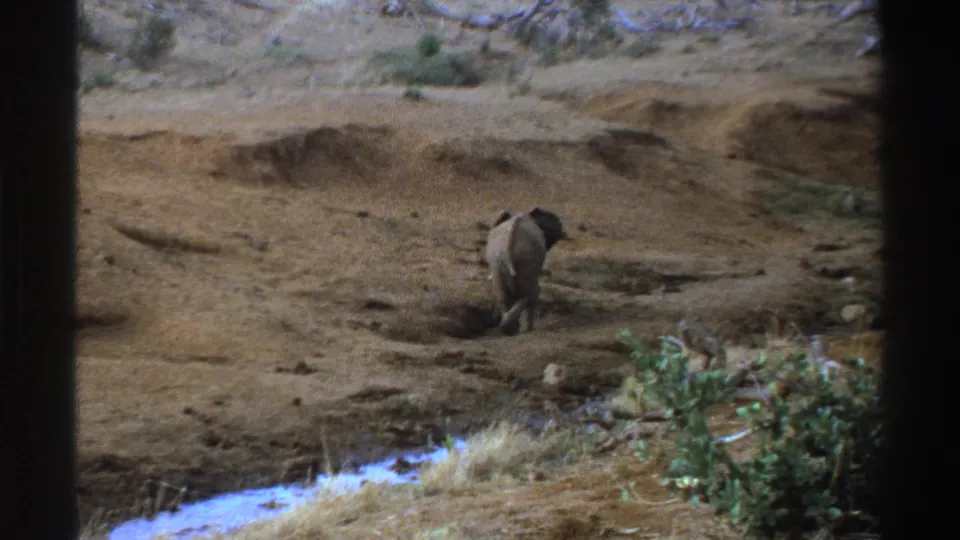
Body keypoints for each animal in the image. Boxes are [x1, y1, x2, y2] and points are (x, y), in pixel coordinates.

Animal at [484, 207, 567, 335]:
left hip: (498, 261)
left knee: (502, 294)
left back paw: (508, 328)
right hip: (526, 260)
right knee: (532, 292)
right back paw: (517, 328)